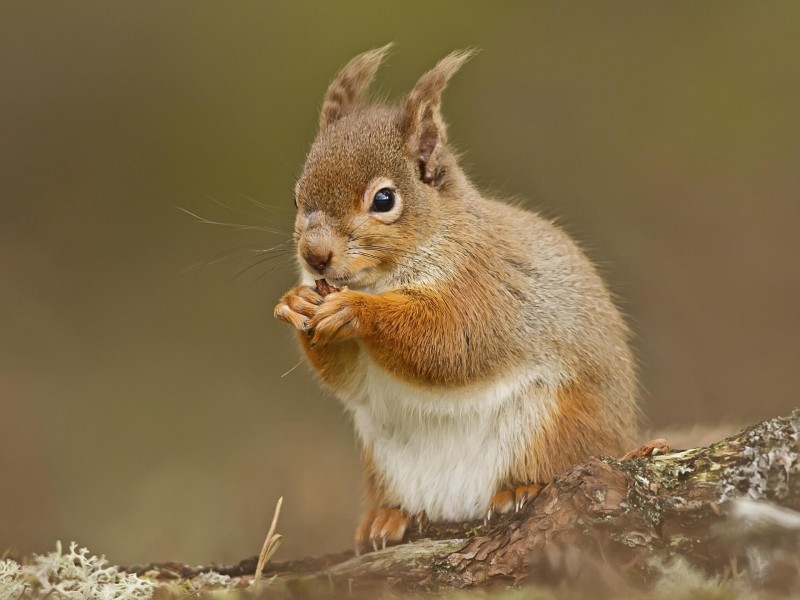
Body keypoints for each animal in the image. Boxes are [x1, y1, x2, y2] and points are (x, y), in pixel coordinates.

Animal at [278, 45, 640, 552]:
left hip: (554, 426)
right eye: (295, 198)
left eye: (384, 199)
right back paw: (387, 518)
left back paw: (521, 489)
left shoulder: (485, 286)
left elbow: (451, 342)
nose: (314, 256)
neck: (383, 281)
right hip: (383, 464)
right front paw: (294, 303)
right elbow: (347, 378)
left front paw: (356, 311)